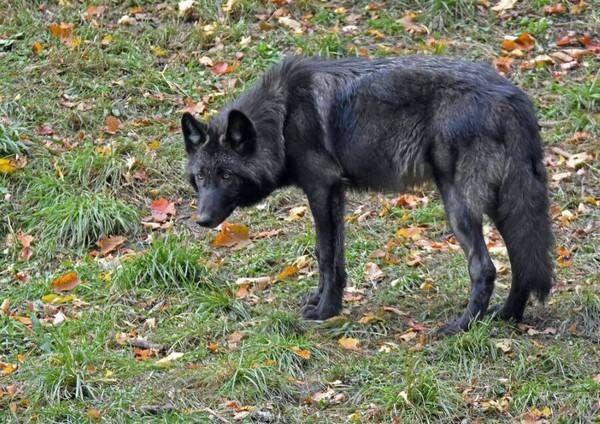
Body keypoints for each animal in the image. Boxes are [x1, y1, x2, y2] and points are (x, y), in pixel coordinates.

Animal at [182, 56, 552, 334]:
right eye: (201, 177)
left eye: (226, 175)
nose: (202, 220)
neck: (282, 116)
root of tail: (513, 98)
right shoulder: (336, 194)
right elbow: (331, 255)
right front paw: (323, 301)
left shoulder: (322, 188)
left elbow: (325, 254)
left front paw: (325, 311)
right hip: (504, 205)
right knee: (522, 259)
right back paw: (507, 316)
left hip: (458, 207)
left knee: (484, 267)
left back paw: (461, 327)